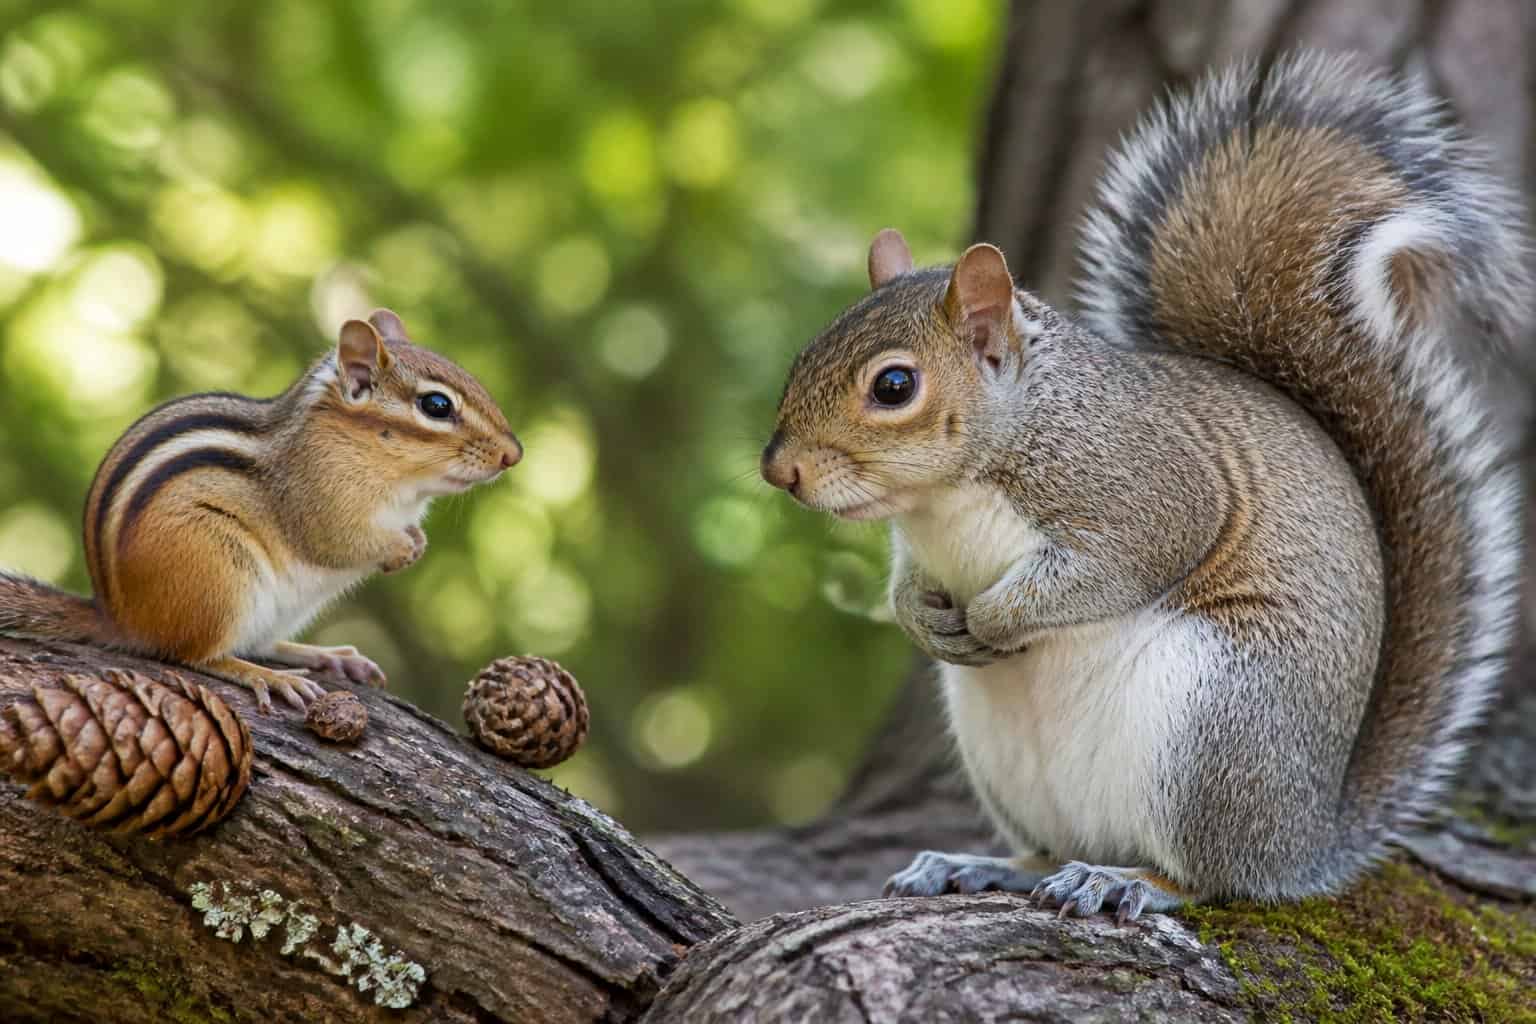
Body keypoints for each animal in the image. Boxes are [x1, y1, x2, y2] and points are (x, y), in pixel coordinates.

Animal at [0, 309, 522, 713]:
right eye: (436, 405)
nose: (513, 455)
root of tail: (120, 617)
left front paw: (416, 540)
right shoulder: (320, 501)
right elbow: (339, 542)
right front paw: (401, 549)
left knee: (261, 641)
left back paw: (326, 655)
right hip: (219, 573)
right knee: (196, 655)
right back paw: (266, 676)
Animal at [761, 52, 1530, 922]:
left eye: (894, 386)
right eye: (807, 352)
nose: (779, 469)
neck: (949, 498)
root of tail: (1305, 839)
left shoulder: (1147, 489)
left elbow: (1116, 567)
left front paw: (994, 618)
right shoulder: (922, 546)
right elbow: (905, 584)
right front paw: (922, 621)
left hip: (1212, 723)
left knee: (1209, 876)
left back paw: (1125, 880)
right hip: (1012, 762)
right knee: (1055, 845)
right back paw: (982, 864)